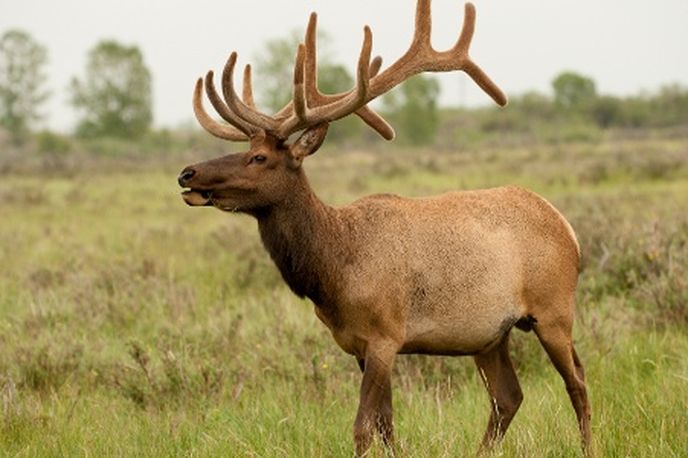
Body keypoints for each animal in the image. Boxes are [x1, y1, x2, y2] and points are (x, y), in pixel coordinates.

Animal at [177, 1, 591, 455]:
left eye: (259, 158)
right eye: (246, 150)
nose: (187, 173)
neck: (333, 272)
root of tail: (566, 226)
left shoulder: (385, 334)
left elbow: (363, 426)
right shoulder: (358, 344)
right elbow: (387, 424)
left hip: (554, 308)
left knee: (578, 382)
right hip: (489, 334)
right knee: (508, 397)